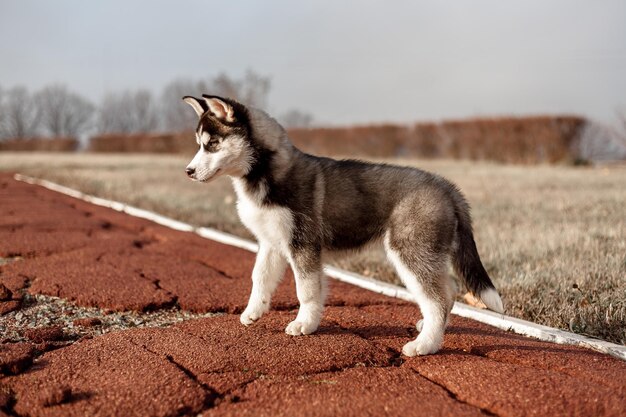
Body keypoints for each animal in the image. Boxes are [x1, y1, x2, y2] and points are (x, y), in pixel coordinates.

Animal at [180, 94, 502, 354]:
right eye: (199, 145)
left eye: (212, 144)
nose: (188, 171)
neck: (262, 175)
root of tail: (447, 186)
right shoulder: (271, 242)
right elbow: (259, 278)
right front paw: (253, 312)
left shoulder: (303, 243)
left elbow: (306, 289)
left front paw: (304, 324)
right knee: (447, 292)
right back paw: (430, 328)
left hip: (410, 250)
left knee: (437, 298)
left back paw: (425, 345)